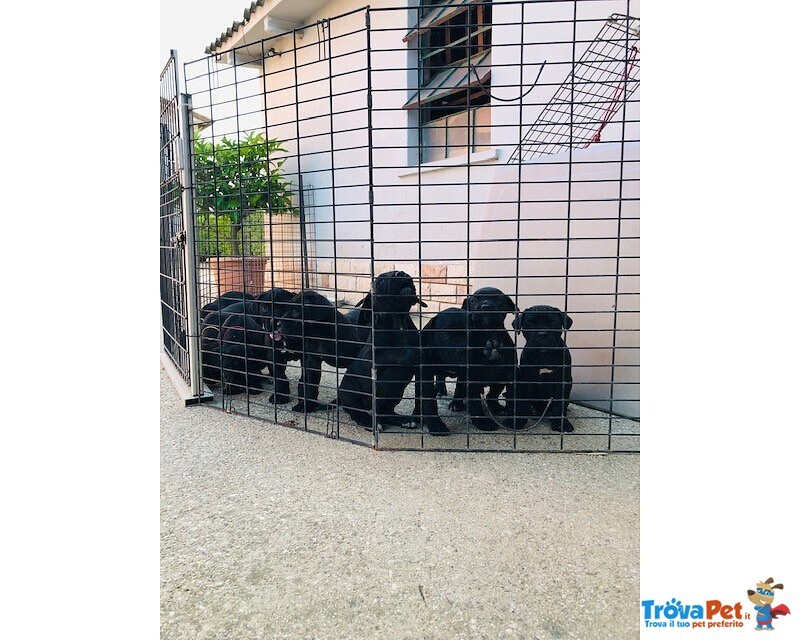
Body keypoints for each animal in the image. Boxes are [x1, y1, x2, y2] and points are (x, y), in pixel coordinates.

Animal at [336, 270, 424, 430]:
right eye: (381, 281)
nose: (400, 273)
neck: (399, 321)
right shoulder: (374, 356)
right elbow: (392, 352)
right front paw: (413, 353)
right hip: (352, 394)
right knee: (357, 413)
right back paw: (369, 423)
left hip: (395, 394)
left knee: (385, 412)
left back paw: (402, 420)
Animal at [412, 286, 520, 432]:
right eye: (473, 300)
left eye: (499, 299)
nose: (486, 306)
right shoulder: (426, 374)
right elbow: (428, 400)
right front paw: (435, 424)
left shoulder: (506, 373)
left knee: (491, 395)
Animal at [504, 306, 572, 436]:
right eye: (530, 323)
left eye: (552, 322)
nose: (542, 334)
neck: (543, 355)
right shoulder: (524, 381)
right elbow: (521, 403)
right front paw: (517, 422)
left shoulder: (563, 382)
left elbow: (559, 404)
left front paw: (561, 424)